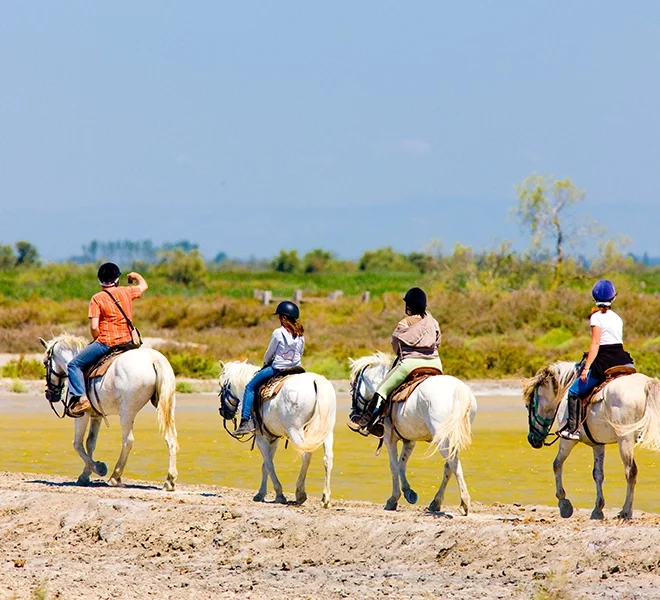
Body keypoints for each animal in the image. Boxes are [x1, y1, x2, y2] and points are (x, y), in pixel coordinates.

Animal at [40, 334, 178, 490]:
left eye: (45, 362)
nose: (51, 395)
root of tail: (155, 359)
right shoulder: (96, 416)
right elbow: (90, 443)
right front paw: (86, 474)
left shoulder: (82, 415)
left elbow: (77, 444)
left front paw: (99, 468)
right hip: (167, 407)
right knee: (170, 438)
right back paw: (169, 481)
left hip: (127, 412)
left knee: (128, 441)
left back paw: (115, 477)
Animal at [218, 361, 336, 507]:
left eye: (221, 385)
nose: (223, 412)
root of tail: (316, 381)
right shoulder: (273, 438)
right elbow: (265, 465)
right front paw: (261, 494)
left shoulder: (261, 438)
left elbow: (269, 464)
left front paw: (279, 494)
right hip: (326, 431)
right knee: (327, 458)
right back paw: (325, 498)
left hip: (297, 431)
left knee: (306, 455)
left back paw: (300, 494)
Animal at [349, 353, 477, 514]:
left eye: (352, 386)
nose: (353, 415)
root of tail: (458, 390)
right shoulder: (409, 441)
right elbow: (402, 464)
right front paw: (409, 492)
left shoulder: (389, 438)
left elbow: (394, 465)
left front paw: (393, 500)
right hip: (452, 438)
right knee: (449, 466)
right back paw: (436, 502)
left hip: (443, 438)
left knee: (453, 464)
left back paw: (464, 503)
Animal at [523, 360, 660, 520]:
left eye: (528, 406)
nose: (532, 439)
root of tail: (646, 384)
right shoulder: (598, 444)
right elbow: (598, 474)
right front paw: (598, 509)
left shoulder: (567, 440)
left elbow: (557, 464)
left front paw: (564, 503)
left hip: (625, 440)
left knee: (630, 472)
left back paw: (625, 511)